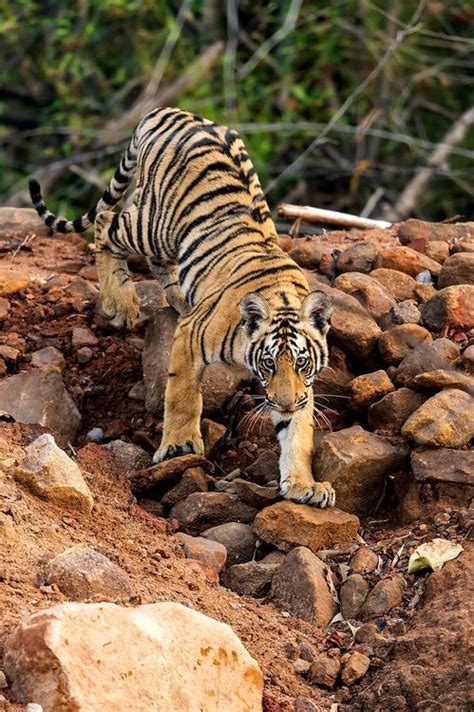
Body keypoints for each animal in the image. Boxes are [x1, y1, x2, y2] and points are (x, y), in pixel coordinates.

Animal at [29, 104, 336, 506]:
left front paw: (304, 485)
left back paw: (176, 297)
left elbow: (298, 433)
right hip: (152, 224)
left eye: (301, 363)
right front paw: (179, 447)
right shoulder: (190, 338)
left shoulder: (303, 389)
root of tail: (170, 111)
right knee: (107, 222)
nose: (283, 403)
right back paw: (121, 303)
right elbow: (182, 396)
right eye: (268, 363)